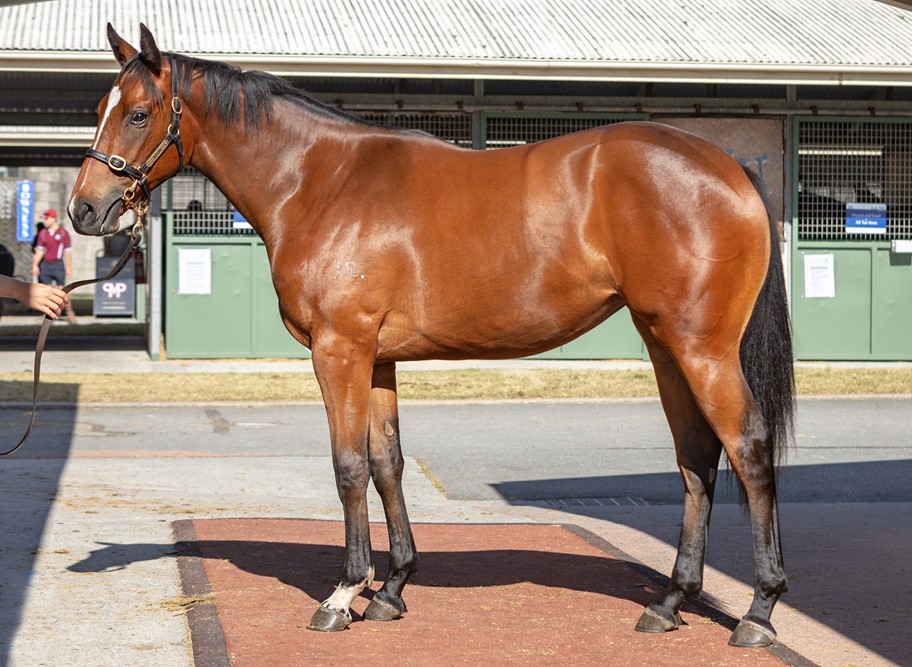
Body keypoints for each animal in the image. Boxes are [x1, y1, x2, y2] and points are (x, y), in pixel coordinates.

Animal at [68, 24, 795, 648]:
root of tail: (729, 165)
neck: (321, 182)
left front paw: (343, 594)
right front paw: (391, 588)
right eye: (101, 105)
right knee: (697, 459)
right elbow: (387, 463)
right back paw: (670, 602)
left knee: (750, 450)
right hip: (665, 345)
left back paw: (759, 611)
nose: (83, 208)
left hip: (703, 350)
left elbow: (349, 466)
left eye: (138, 113)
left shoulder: (340, 351)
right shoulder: (378, 359)